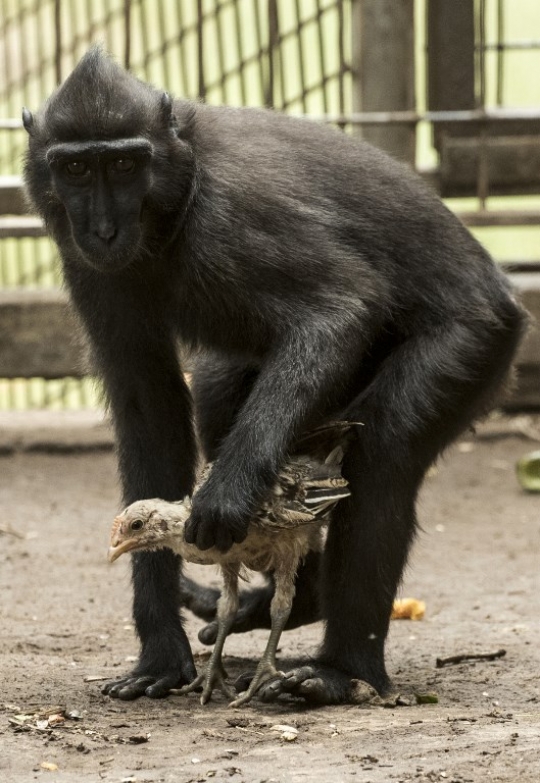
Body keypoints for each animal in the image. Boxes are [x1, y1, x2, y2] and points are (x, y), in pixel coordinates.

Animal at [23, 52, 524, 708]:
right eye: (77, 167)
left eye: (126, 164)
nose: (104, 229)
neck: (183, 184)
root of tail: (506, 297)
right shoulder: (88, 265)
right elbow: (149, 406)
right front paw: (161, 653)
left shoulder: (233, 217)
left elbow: (339, 310)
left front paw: (229, 492)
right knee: (219, 398)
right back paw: (297, 599)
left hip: (477, 341)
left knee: (384, 450)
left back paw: (340, 670)